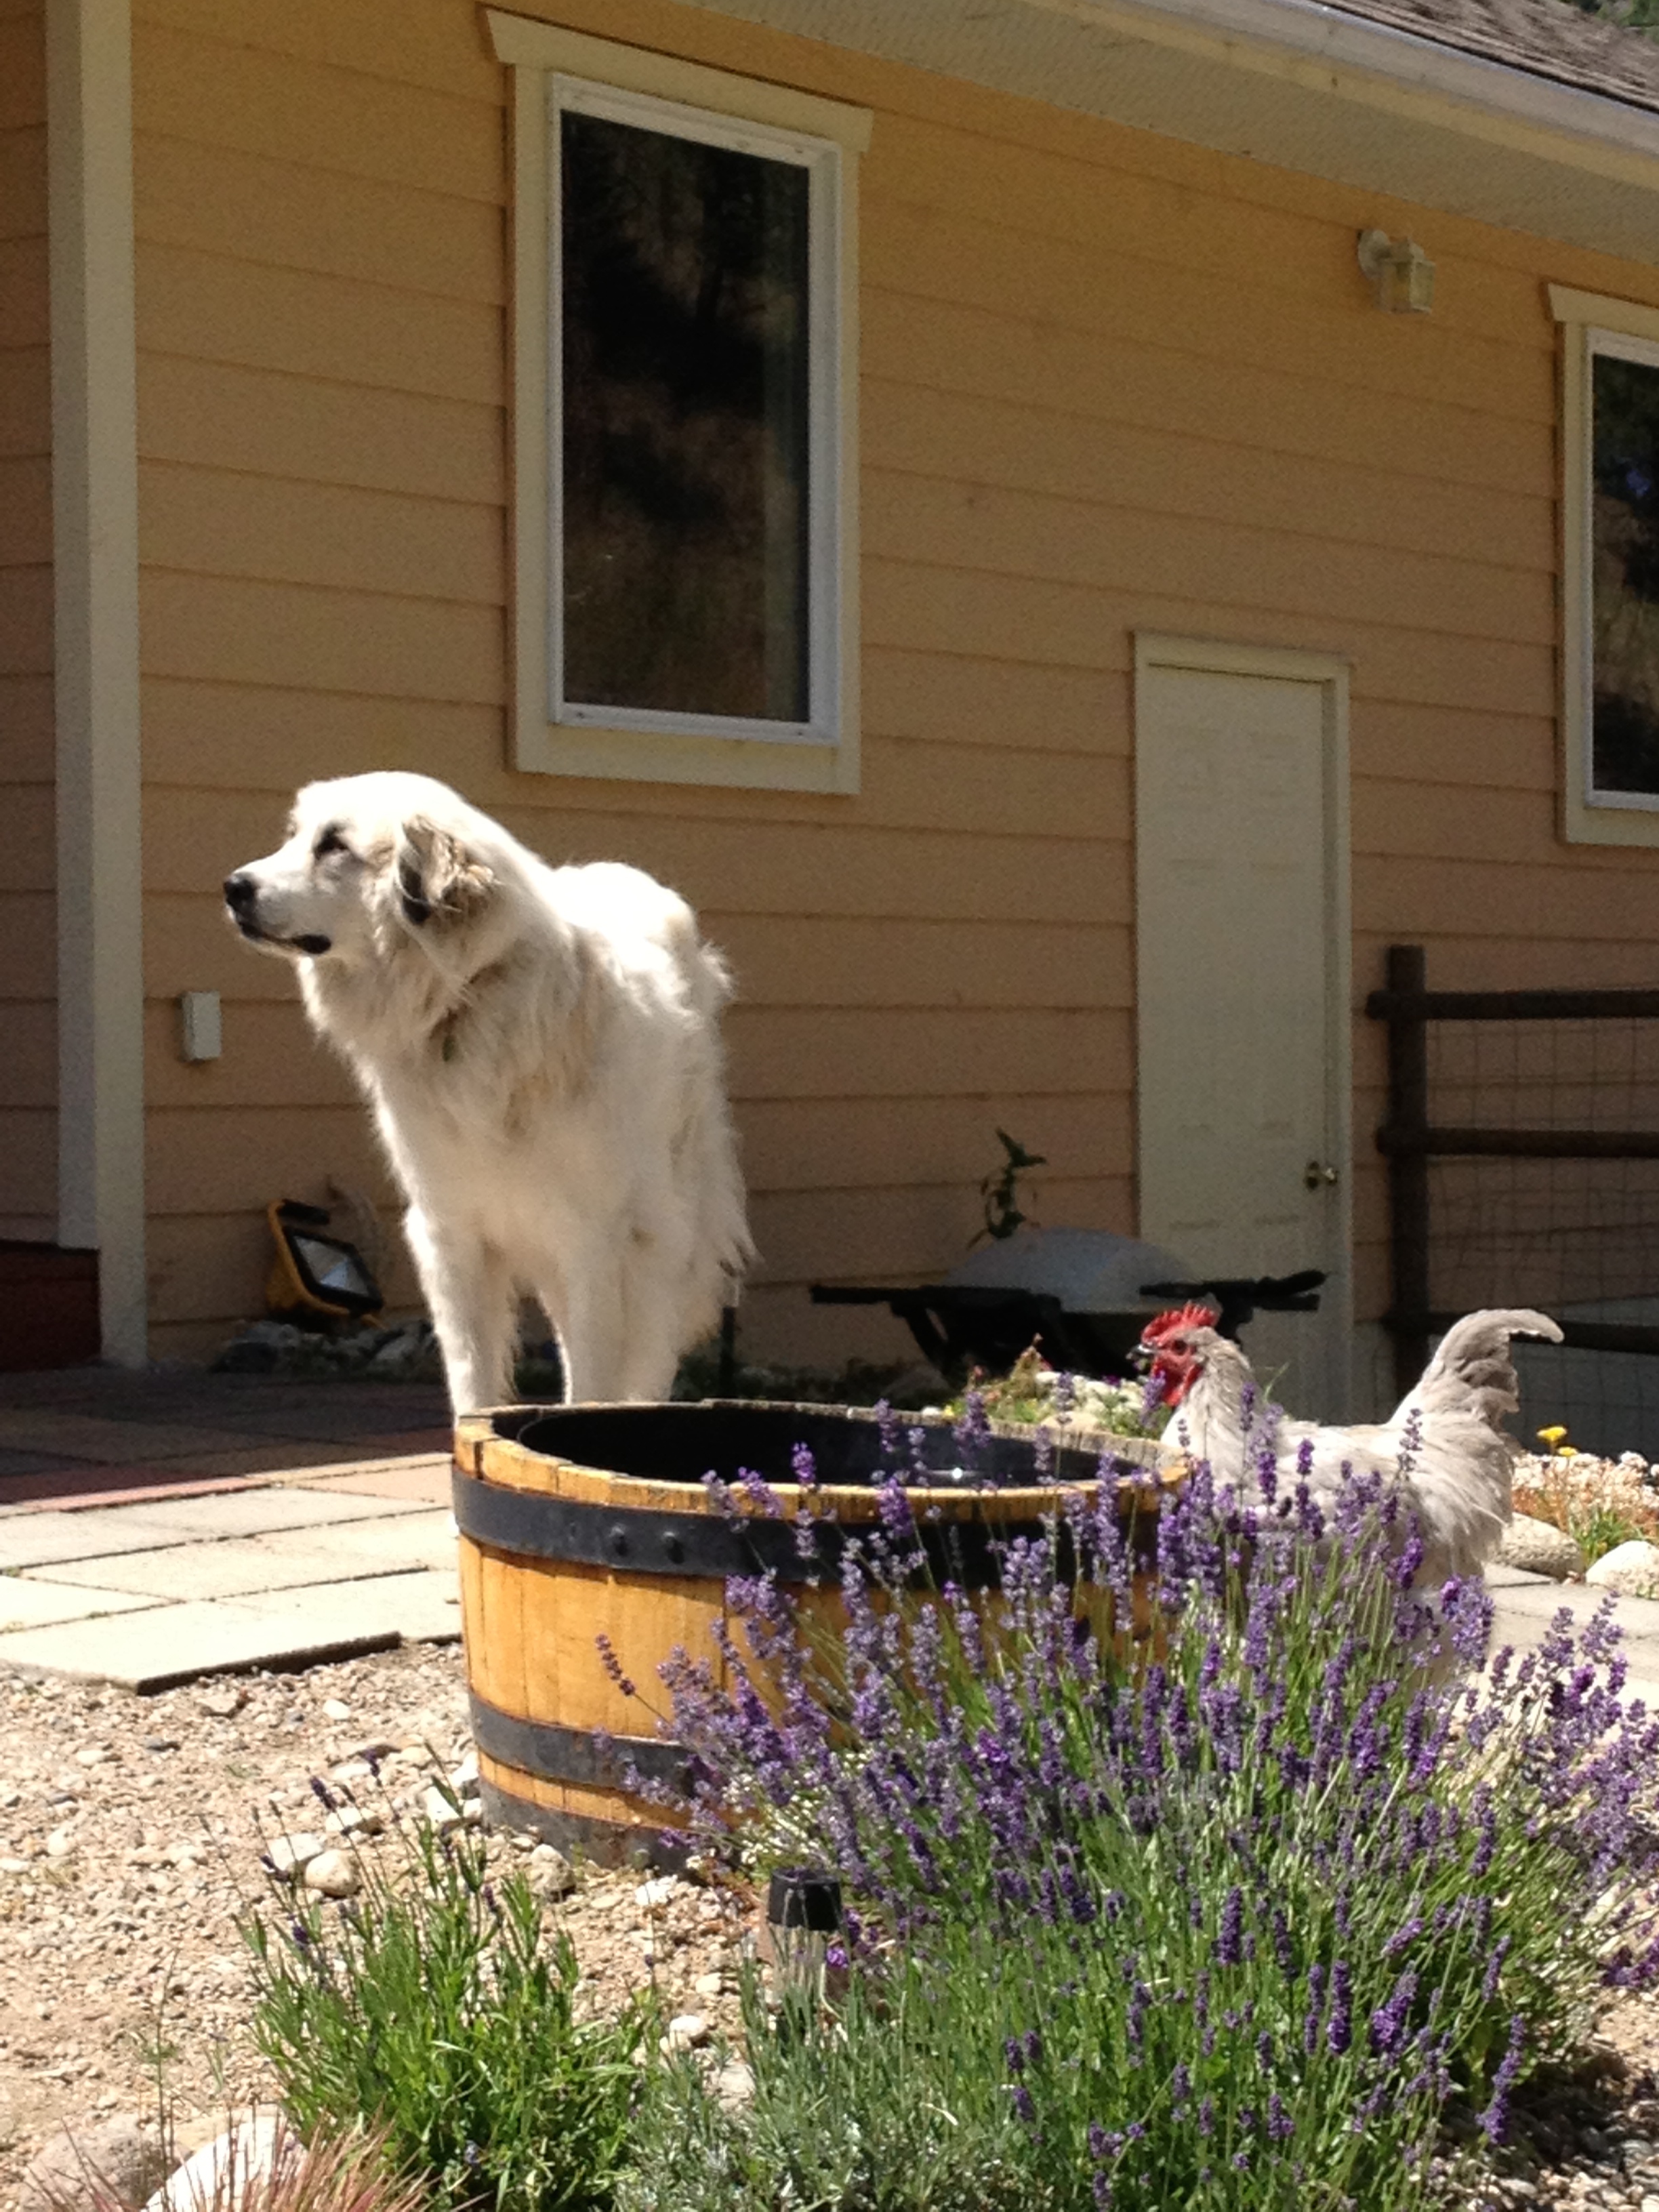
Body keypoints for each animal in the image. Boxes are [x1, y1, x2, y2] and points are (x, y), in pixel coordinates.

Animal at [225, 769, 752, 1406]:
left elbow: (595, 1372)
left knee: (644, 1352)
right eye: (295, 836)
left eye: (334, 846)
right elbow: (471, 1376)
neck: (468, 998)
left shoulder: (593, 1238)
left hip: (659, 1227)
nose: (233, 888)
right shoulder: (452, 1234)